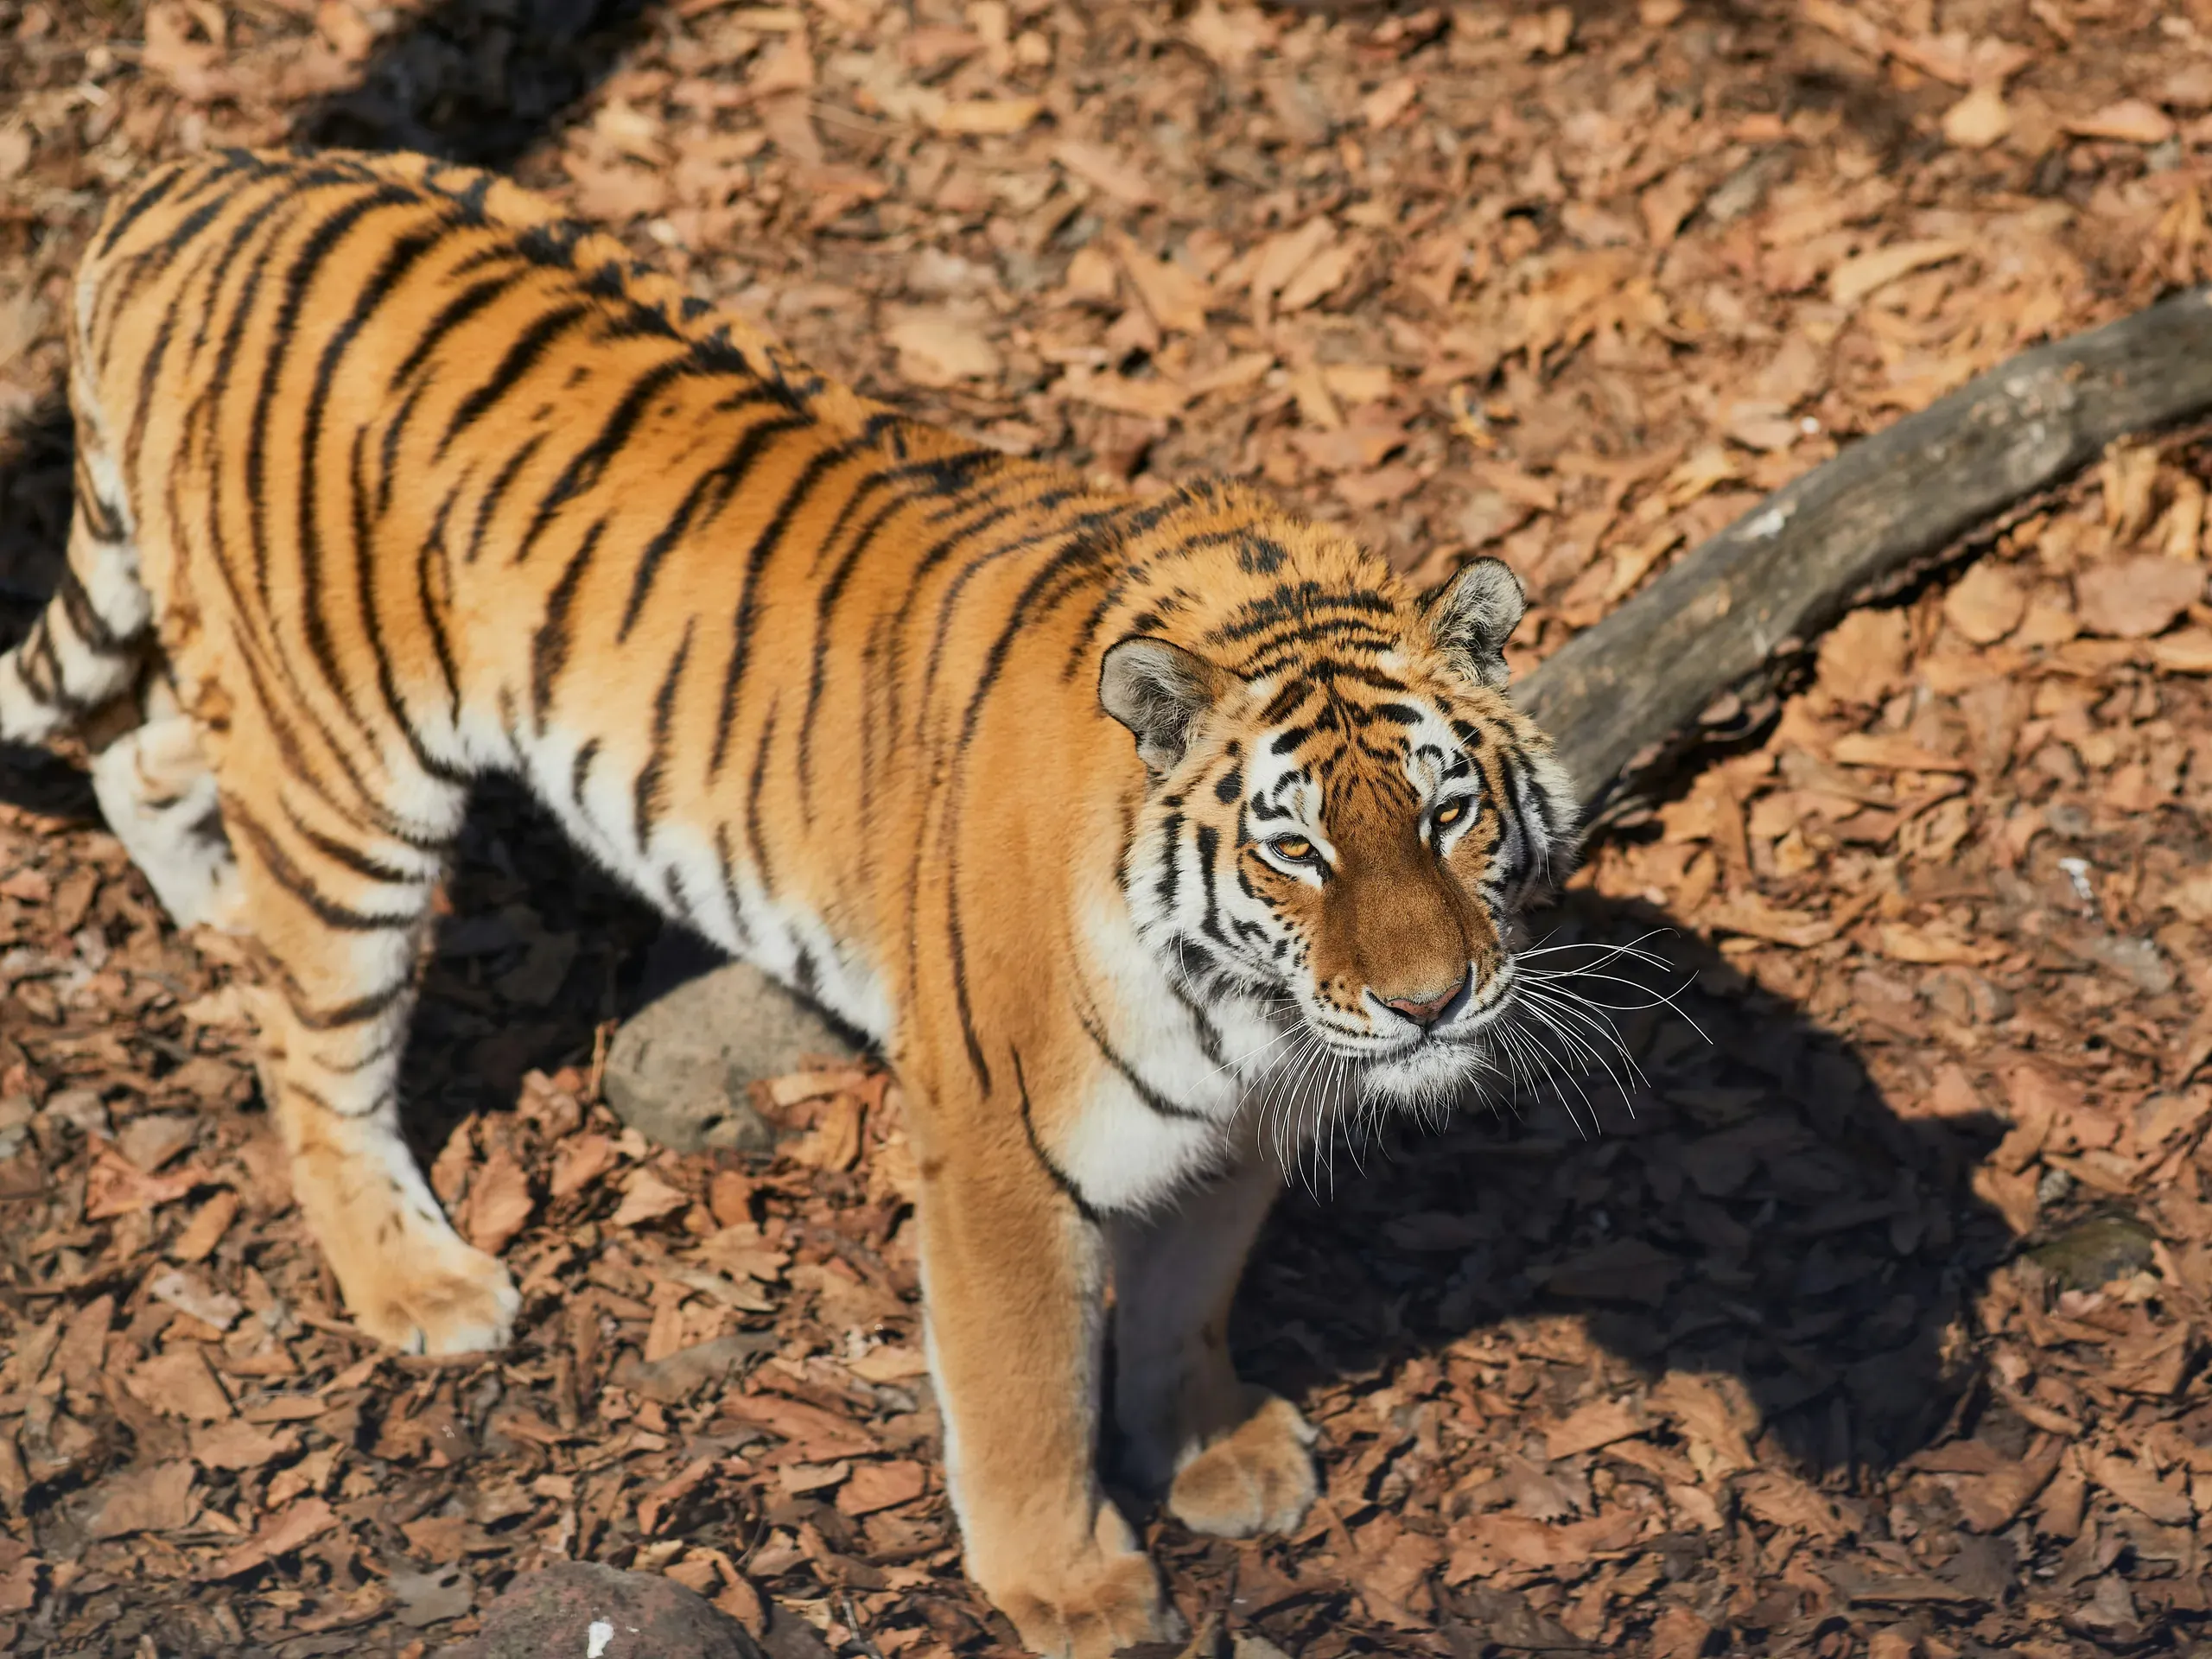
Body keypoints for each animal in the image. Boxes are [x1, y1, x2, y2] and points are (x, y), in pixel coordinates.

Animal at [0, 149, 1580, 1655]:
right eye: (1294, 850)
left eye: (1447, 813)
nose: (1427, 1002)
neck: (1244, 1011)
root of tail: (200, 179)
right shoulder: (999, 1146)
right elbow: (1026, 1390)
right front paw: (1068, 1587)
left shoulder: (1242, 1126)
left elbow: (1189, 1299)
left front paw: (1211, 1452)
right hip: (347, 772)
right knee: (309, 1040)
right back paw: (419, 1285)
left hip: (265, 705)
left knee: (138, 748)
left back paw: (213, 904)